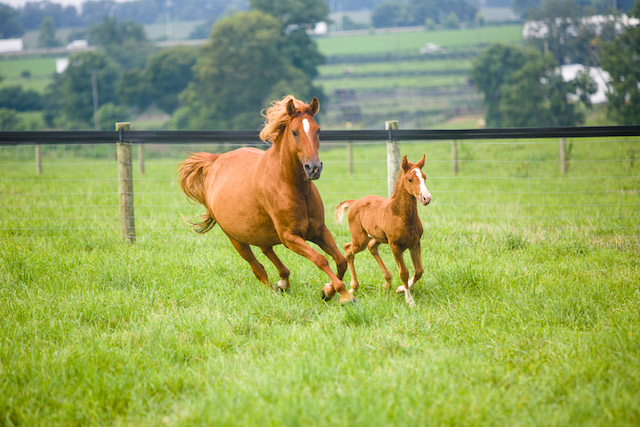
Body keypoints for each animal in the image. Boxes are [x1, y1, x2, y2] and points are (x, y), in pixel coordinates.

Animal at [179, 97, 356, 304]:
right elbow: (320, 259)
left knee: (269, 253)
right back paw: (274, 291)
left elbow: (341, 260)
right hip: (236, 239)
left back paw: (283, 283)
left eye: (318, 130)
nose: (313, 168)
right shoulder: (290, 237)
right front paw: (344, 295)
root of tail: (215, 162)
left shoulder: (318, 230)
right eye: (294, 132)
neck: (291, 185)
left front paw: (327, 291)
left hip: (259, 230)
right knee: (258, 268)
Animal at [336, 155, 430, 306]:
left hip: (376, 237)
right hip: (360, 239)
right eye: (410, 179)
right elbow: (404, 272)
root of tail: (355, 202)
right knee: (348, 250)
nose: (426, 198)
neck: (401, 216)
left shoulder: (415, 243)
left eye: (424, 177)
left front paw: (400, 289)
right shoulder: (395, 246)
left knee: (370, 247)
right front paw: (409, 300)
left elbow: (419, 271)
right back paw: (353, 287)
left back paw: (387, 282)